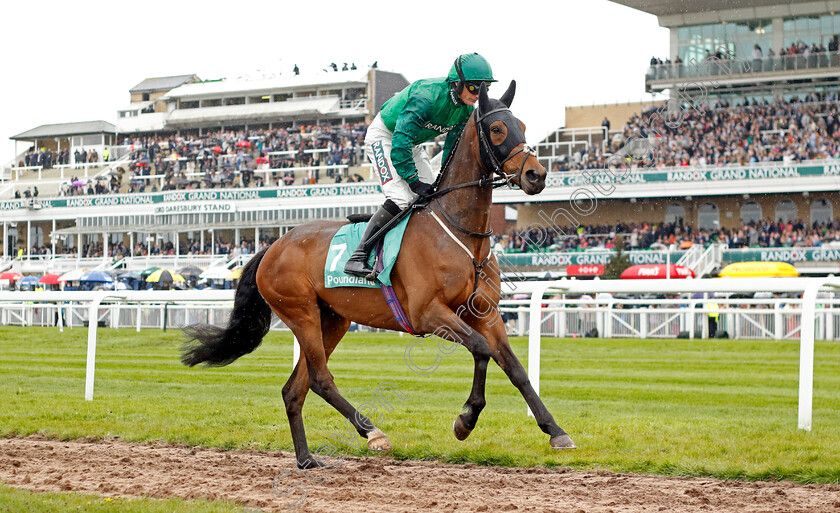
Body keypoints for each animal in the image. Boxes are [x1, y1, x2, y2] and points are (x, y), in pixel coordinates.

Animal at [182, 81, 576, 468]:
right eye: (496, 129)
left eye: (522, 125)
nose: (536, 175)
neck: (459, 231)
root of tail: (273, 246)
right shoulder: (428, 313)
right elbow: (480, 349)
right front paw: (465, 420)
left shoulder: (487, 313)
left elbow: (515, 367)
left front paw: (555, 430)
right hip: (300, 312)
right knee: (320, 379)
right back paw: (372, 432)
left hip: (332, 319)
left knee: (295, 388)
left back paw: (307, 459)